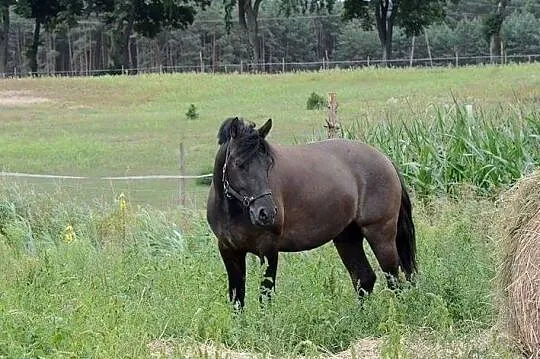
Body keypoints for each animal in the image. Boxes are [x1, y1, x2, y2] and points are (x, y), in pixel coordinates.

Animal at [207, 118, 418, 310]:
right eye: (238, 163)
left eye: (268, 164)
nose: (266, 212)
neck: (233, 211)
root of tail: (384, 159)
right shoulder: (229, 250)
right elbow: (237, 298)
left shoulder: (268, 249)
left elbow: (265, 296)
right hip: (347, 238)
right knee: (364, 278)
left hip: (380, 235)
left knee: (393, 278)